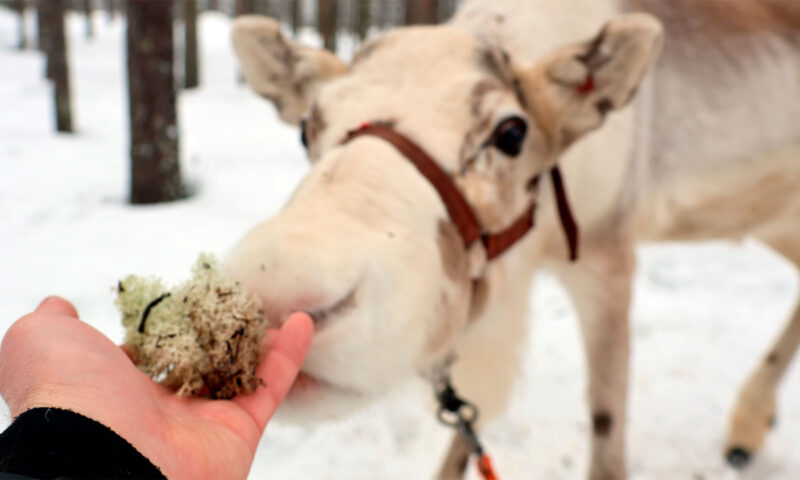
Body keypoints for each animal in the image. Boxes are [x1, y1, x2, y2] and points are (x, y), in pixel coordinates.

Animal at [225, 0, 800, 478]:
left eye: (512, 132)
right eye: (306, 127)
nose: (278, 299)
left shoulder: (607, 257)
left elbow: (606, 431)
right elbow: (464, 436)